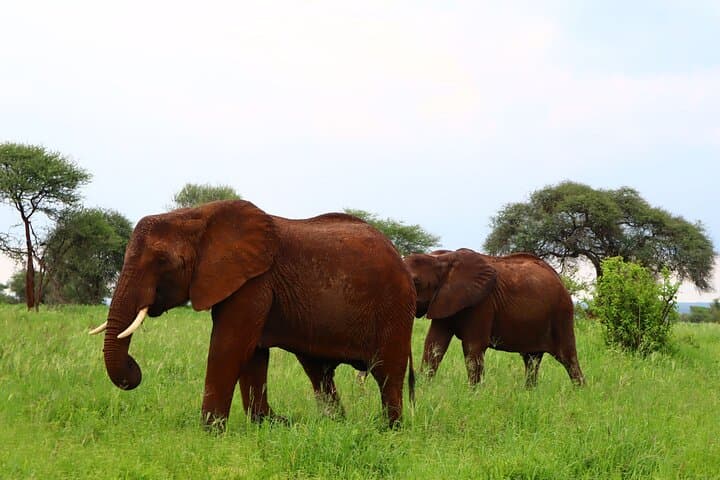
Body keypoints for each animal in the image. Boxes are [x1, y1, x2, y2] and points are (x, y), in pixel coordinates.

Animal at [89, 200, 416, 429]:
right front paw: (271, 425)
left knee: (388, 373)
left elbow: (229, 347)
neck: (198, 215)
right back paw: (336, 424)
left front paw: (210, 432)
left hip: (396, 306)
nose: (135, 368)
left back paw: (389, 430)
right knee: (320, 373)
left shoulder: (254, 282)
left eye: (161, 260)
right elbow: (253, 354)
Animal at [404, 248, 584, 387]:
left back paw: (580, 392)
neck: (441, 260)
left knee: (567, 357)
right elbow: (434, 344)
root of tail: (558, 277)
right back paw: (529, 393)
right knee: (532, 359)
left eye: (416, 282)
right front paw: (424, 388)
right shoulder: (444, 299)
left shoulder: (483, 303)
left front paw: (473, 394)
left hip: (561, 313)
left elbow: (473, 346)